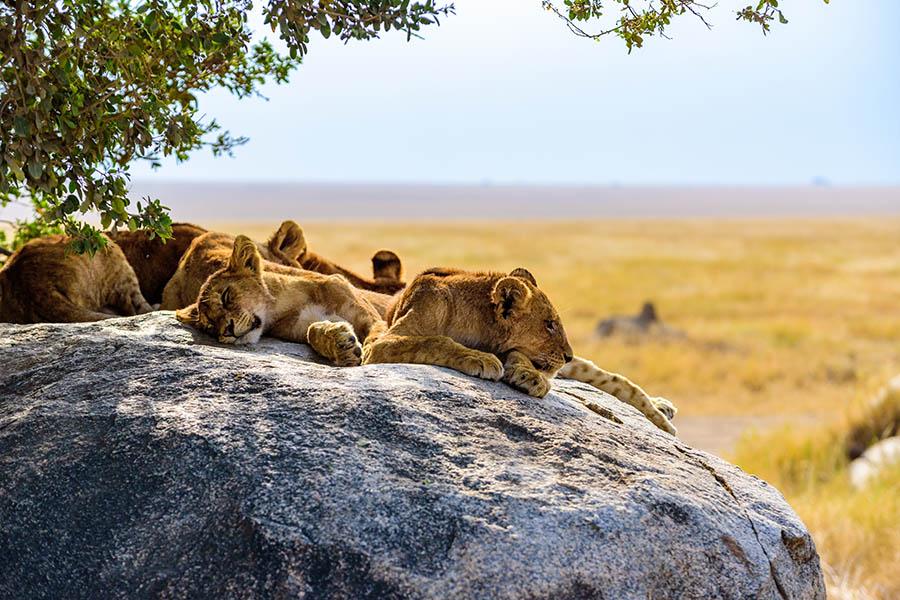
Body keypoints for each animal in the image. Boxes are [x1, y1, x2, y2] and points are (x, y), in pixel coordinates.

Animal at [175, 235, 385, 367]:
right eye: (209, 325)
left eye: (226, 296)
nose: (227, 331)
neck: (289, 305)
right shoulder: (297, 329)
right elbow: (312, 331)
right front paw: (341, 345)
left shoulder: (370, 317)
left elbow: (376, 334)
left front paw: (369, 353)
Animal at [363, 267, 677, 435]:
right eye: (550, 325)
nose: (568, 355)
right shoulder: (377, 344)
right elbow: (435, 341)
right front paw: (479, 359)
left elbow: (519, 355)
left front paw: (529, 377)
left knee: (615, 380)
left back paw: (662, 414)